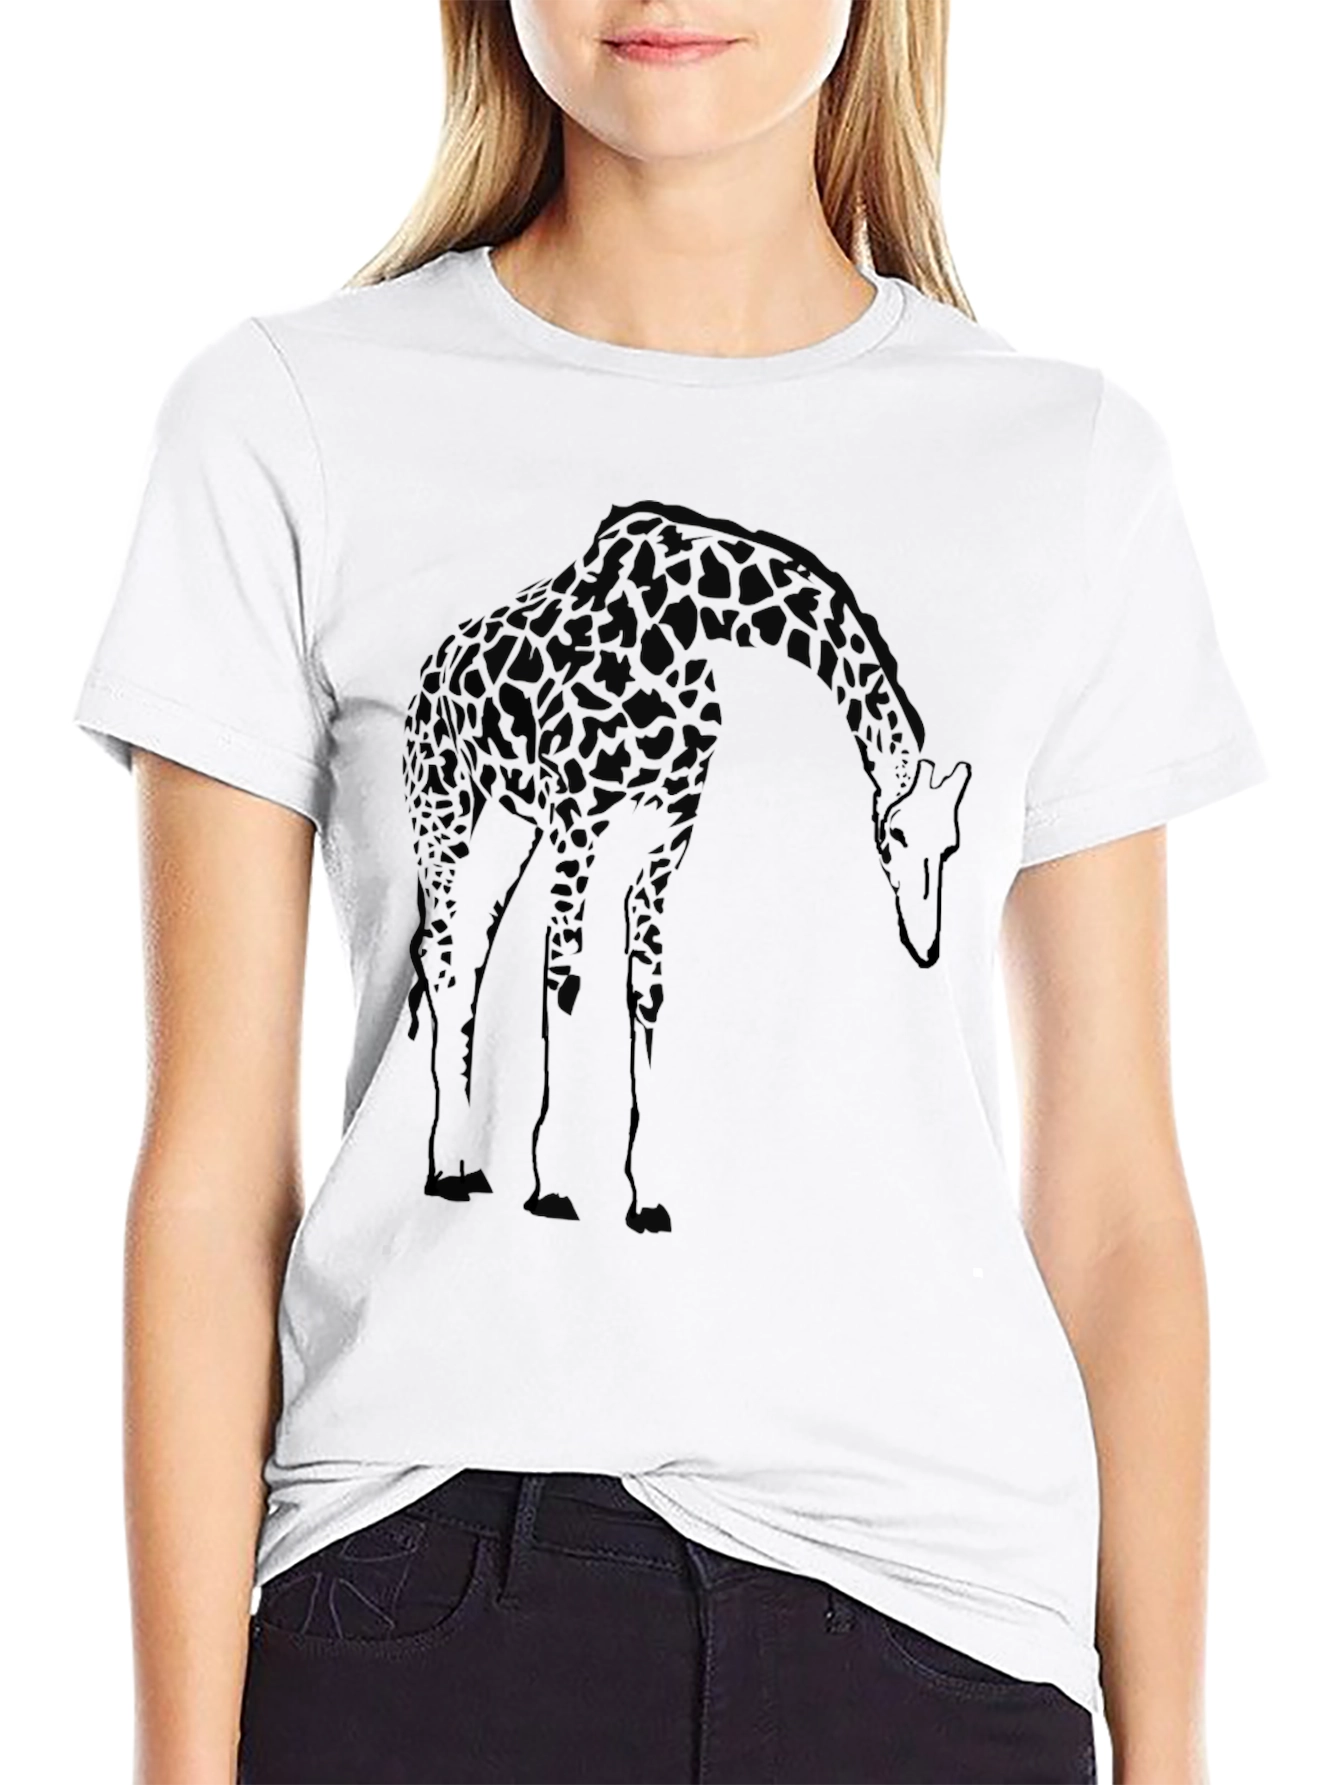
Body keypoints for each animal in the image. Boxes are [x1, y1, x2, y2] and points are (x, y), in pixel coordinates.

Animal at [401, 500, 971, 1232]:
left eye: (949, 845)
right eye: (895, 835)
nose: (925, 943)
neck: (688, 615)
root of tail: (426, 673)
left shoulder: (667, 832)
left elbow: (646, 992)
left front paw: (647, 1196)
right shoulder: (576, 818)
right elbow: (566, 981)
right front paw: (554, 1185)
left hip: (506, 826)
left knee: (465, 953)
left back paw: (465, 1163)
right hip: (445, 810)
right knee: (443, 954)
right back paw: (447, 1169)